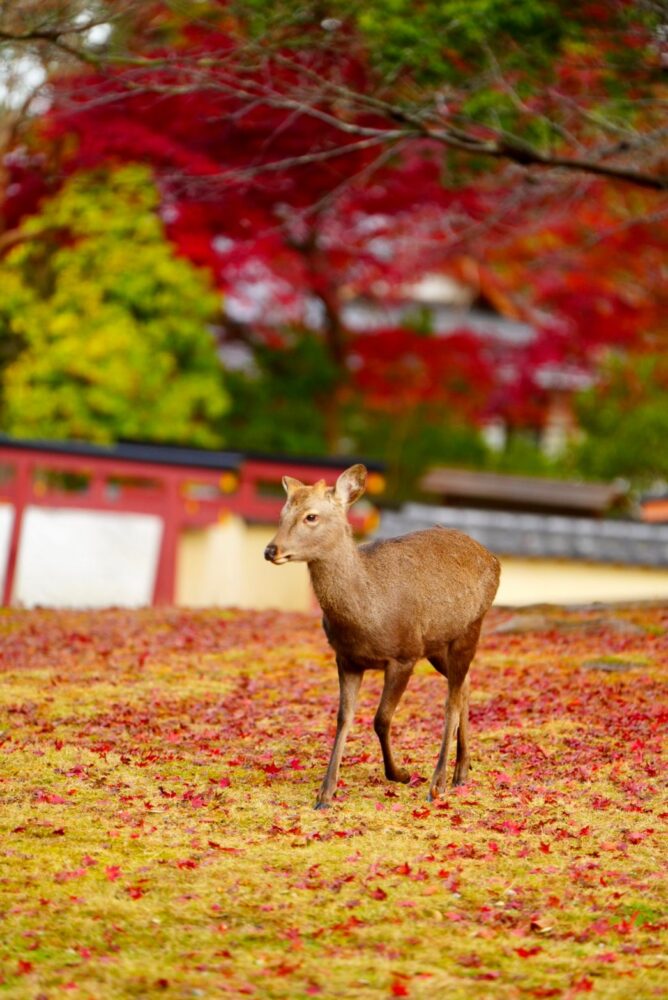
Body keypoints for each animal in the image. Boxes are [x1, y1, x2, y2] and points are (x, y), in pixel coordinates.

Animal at [264, 464, 500, 809]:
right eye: (282, 513)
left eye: (311, 516)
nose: (271, 549)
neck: (365, 617)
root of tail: (494, 560)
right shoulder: (346, 659)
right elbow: (343, 717)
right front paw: (325, 793)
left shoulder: (404, 654)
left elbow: (381, 718)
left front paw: (399, 773)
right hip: (437, 645)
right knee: (466, 685)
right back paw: (462, 771)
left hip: (470, 626)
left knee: (452, 699)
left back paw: (438, 782)